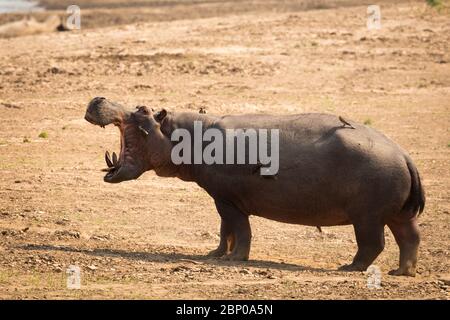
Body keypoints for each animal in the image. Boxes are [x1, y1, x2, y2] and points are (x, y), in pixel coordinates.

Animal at [85, 96, 426, 276]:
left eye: (142, 110)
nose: (97, 99)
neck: (183, 134)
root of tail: (404, 153)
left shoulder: (228, 200)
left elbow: (239, 229)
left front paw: (234, 260)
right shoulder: (221, 198)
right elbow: (225, 230)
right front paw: (214, 255)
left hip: (367, 217)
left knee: (372, 244)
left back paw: (348, 268)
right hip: (398, 214)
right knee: (410, 238)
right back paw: (402, 272)